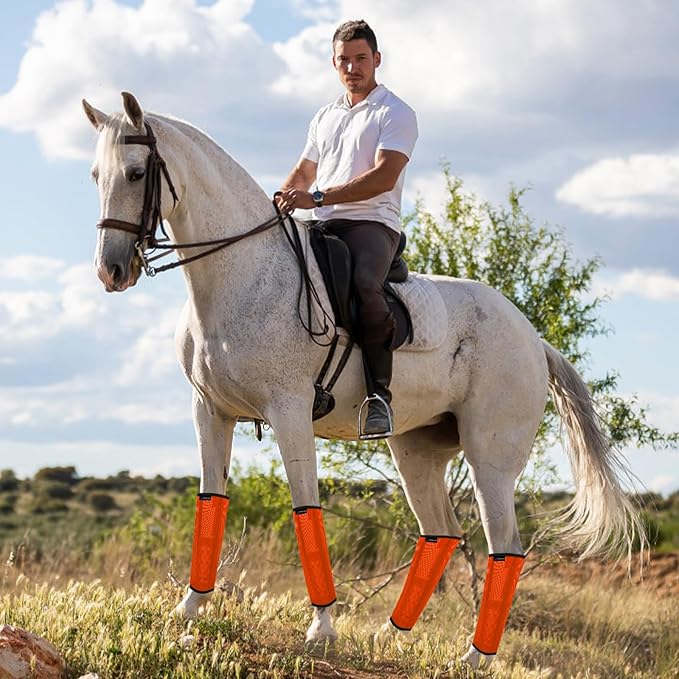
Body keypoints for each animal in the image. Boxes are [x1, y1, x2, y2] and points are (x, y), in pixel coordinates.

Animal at [83, 93, 644, 672]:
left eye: (137, 172)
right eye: (96, 175)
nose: (111, 271)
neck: (240, 275)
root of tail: (534, 340)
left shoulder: (288, 411)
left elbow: (306, 509)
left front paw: (322, 628)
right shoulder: (210, 412)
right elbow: (209, 501)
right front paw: (189, 609)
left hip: (490, 459)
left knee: (505, 547)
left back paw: (472, 657)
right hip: (416, 450)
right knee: (441, 531)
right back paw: (390, 636)